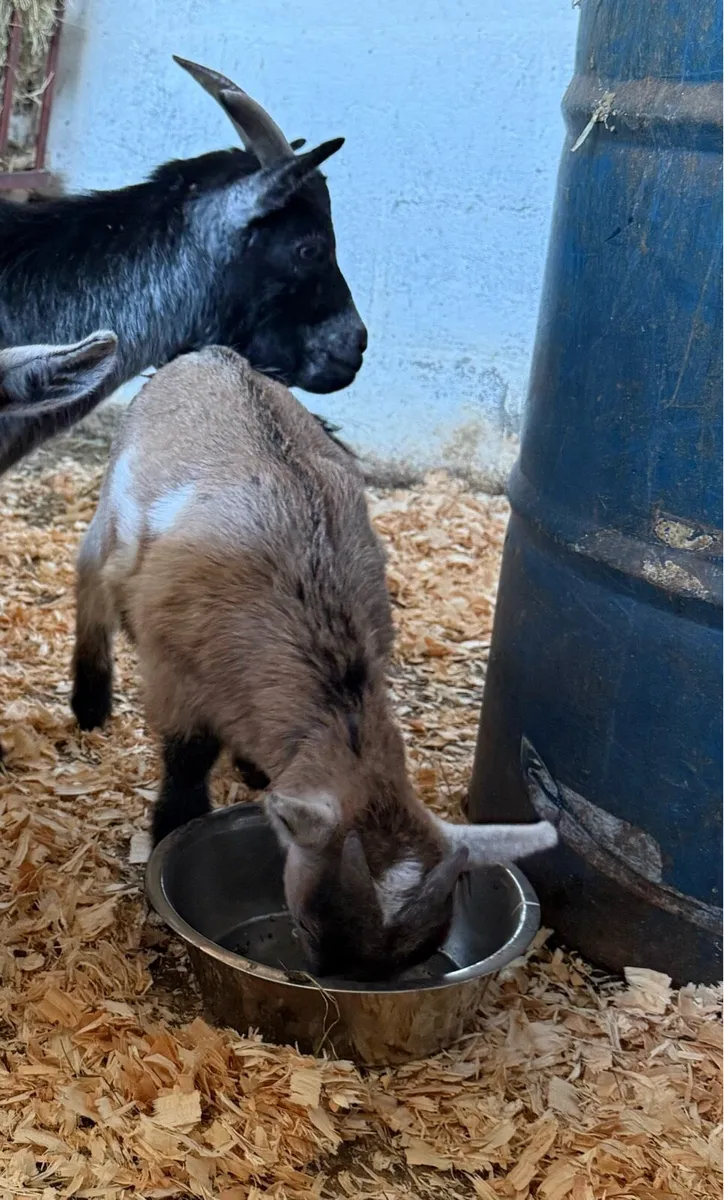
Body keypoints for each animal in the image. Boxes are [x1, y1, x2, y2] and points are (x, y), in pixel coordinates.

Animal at [70, 347, 557, 981]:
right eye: (304, 925)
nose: (326, 976)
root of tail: (211, 355)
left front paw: (254, 768)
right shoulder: (174, 668)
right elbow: (188, 756)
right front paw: (172, 827)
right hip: (111, 517)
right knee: (90, 579)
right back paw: (89, 701)